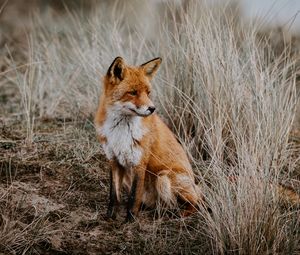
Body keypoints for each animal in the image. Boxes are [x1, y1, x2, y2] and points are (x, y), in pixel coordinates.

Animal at [94, 56, 202, 221]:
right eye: (133, 92)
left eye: (148, 93)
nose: (152, 109)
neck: (120, 132)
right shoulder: (113, 160)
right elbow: (114, 196)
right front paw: (110, 218)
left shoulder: (139, 162)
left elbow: (133, 198)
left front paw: (130, 221)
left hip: (164, 177)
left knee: (196, 203)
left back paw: (178, 215)